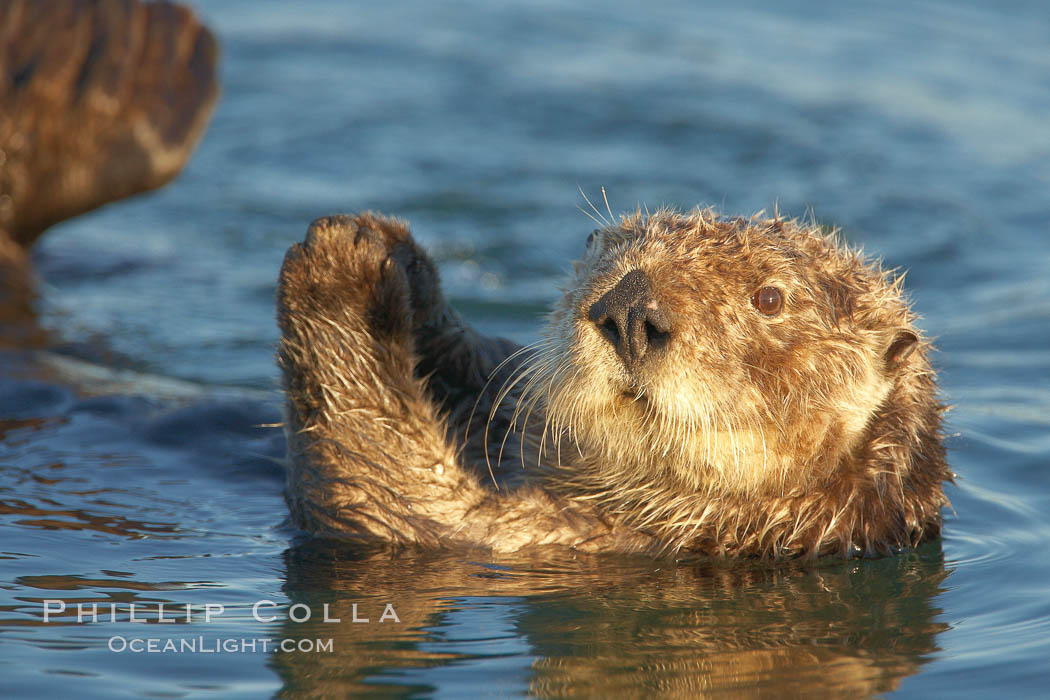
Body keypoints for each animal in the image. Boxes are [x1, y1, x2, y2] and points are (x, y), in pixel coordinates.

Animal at [277, 207, 953, 558]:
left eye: (770, 298)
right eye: (605, 254)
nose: (629, 310)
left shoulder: (547, 538)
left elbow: (383, 485)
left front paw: (343, 265)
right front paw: (398, 254)